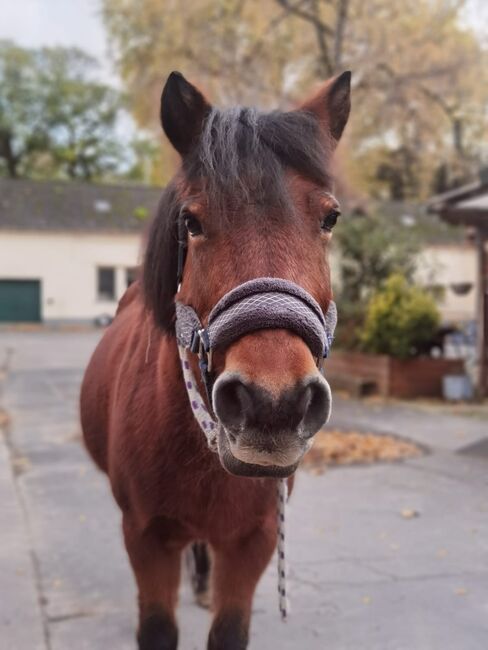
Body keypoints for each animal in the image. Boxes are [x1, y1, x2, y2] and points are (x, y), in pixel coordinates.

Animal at [82, 69, 350, 648]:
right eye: (191, 221)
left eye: (331, 218)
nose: (274, 404)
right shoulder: (145, 538)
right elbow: (158, 628)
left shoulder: (254, 543)